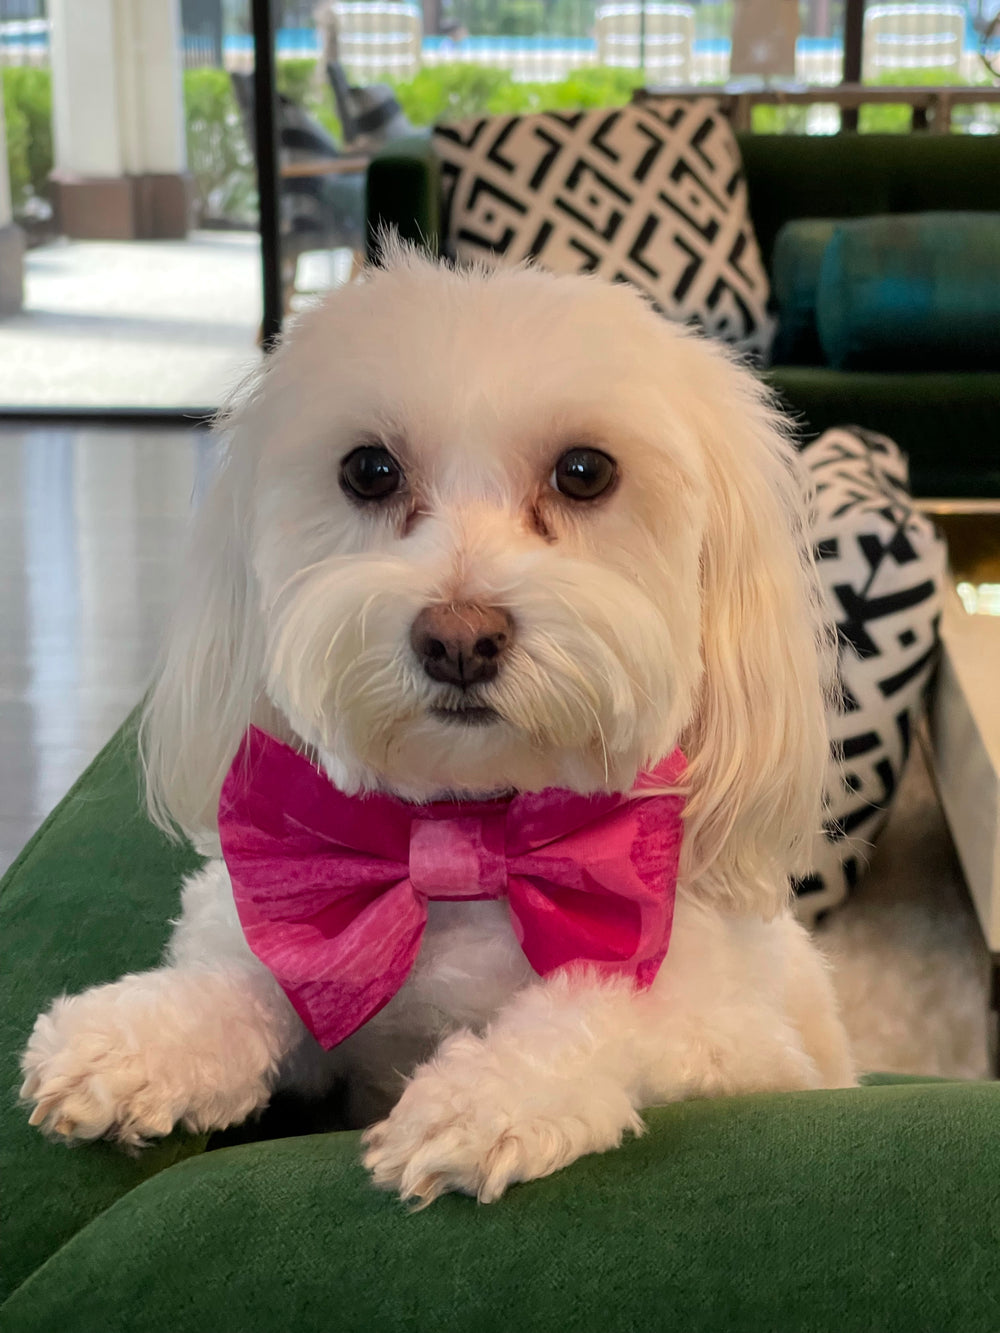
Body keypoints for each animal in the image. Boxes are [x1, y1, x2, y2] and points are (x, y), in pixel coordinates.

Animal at [19, 247, 858, 1199]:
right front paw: (139, 1037)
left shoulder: (744, 1044)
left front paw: (487, 1096)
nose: (459, 638)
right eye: (368, 471)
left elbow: (614, 1007)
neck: (467, 837)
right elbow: (256, 973)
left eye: (585, 472)